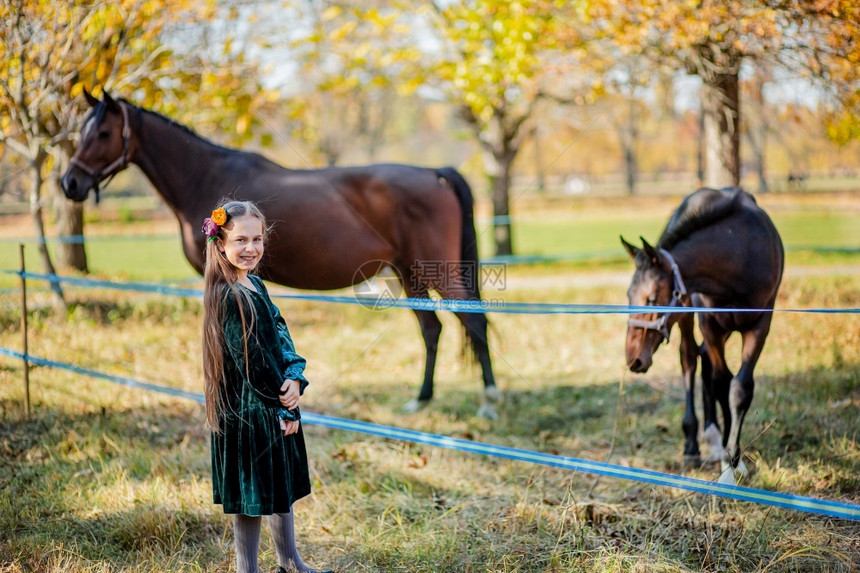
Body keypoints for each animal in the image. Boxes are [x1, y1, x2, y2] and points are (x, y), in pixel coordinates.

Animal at [60, 91, 500, 418]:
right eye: (83, 130)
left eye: (103, 133)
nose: (70, 182)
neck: (205, 175)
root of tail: (434, 173)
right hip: (408, 272)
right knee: (431, 329)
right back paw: (420, 400)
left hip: (437, 271)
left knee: (474, 322)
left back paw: (489, 402)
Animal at [620, 189, 784, 482]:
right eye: (630, 295)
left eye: (651, 298)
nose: (633, 358)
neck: (739, 253)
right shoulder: (710, 325)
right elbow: (721, 382)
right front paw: (728, 463)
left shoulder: (760, 326)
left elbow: (740, 388)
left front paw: (733, 461)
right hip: (688, 317)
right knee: (690, 359)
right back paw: (694, 445)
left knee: (707, 361)